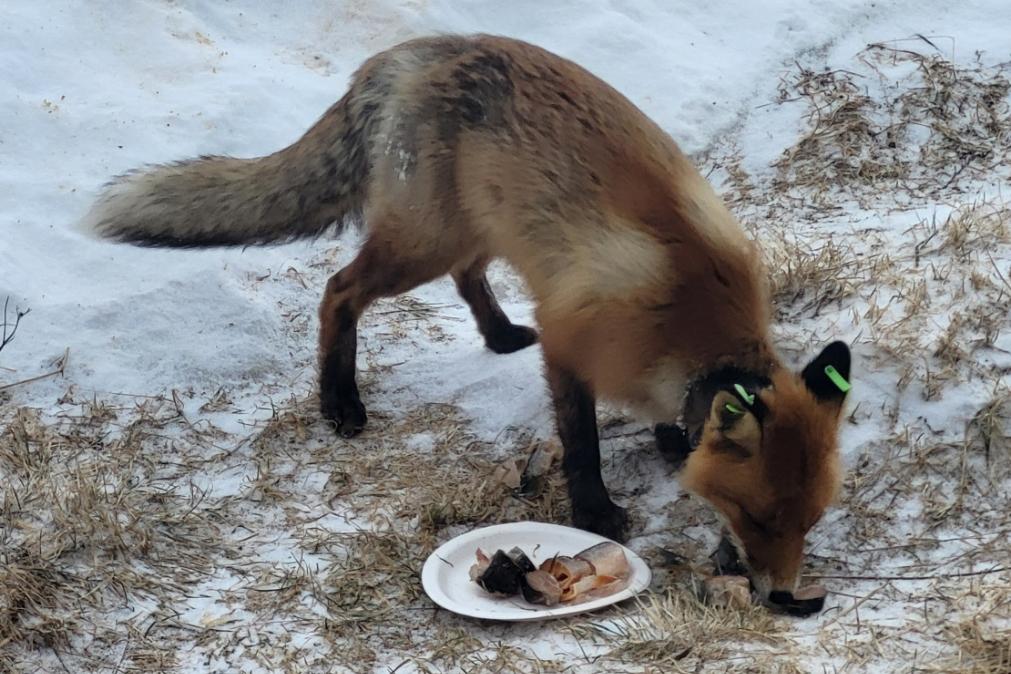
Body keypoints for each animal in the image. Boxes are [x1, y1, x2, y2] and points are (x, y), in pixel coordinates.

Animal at [80, 34, 853, 602]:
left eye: (810, 521)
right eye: (756, 517)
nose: (783, 597)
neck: (685, 317)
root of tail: (404, 53)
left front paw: (670, 440)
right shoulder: (570, 346)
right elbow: (582, 444)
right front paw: (595, 512)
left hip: (478, 230)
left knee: (465, 278)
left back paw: (501, 334)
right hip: (423, 243)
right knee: (338, 290)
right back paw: (340, 401)